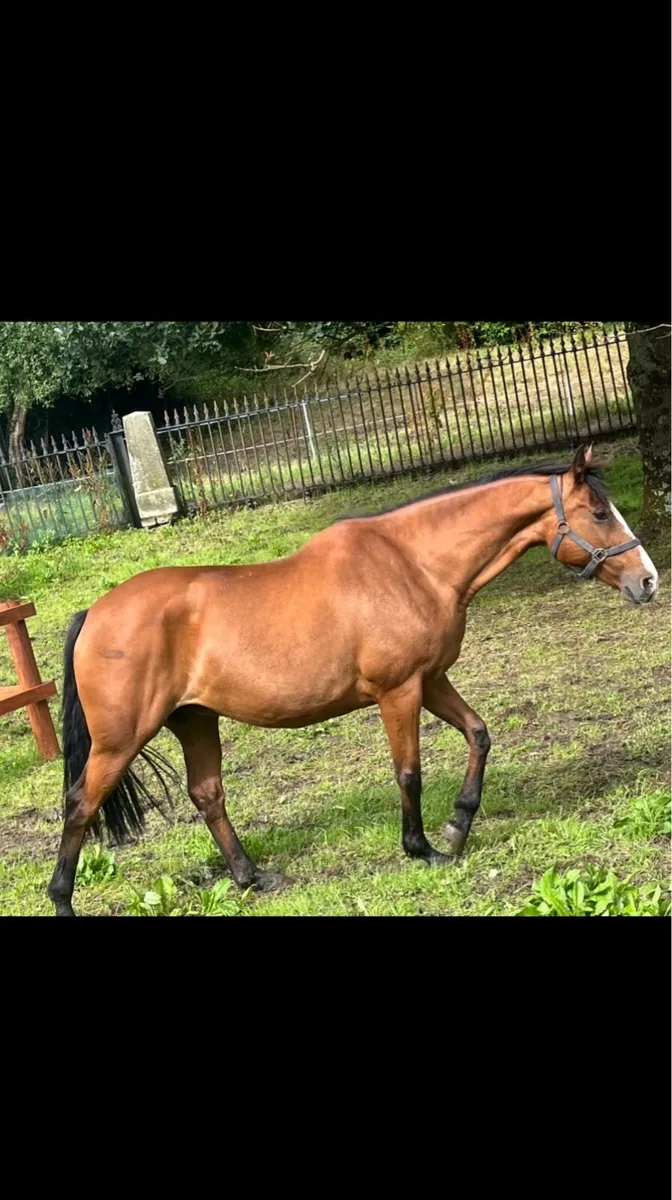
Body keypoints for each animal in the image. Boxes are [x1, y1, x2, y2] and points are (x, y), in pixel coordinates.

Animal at [48, 445, 659, 915]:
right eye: (599, 512)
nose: (648, 580)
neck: (413, 564)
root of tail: (94, 614)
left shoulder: (431, 680)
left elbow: (479, 734)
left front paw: (459, 824)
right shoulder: (400, 691)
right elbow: (409, 772)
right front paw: (422, 849)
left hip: (195, 720)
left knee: (208, 794)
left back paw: (253, 877)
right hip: (122, 739)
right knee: (80, 805)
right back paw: (62, 899)